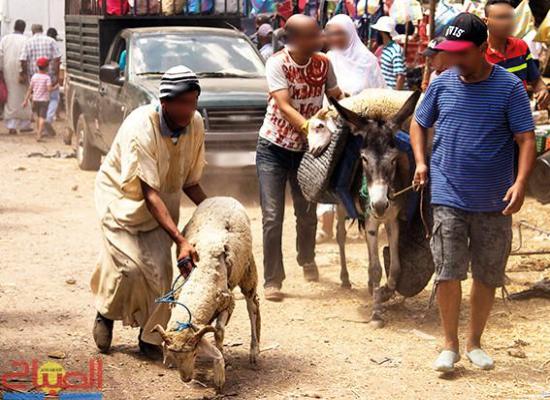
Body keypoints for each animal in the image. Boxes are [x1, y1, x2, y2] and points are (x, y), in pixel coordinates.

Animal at [152, 196, 262, 390]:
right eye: (176, 356)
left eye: (195, 353)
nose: (186, 379)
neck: (201, 277)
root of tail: (223, 196)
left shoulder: (228, 303)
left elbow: (219, 331)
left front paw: (220, 371)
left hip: (247, 269)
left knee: (252, 306)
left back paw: (254, 351)